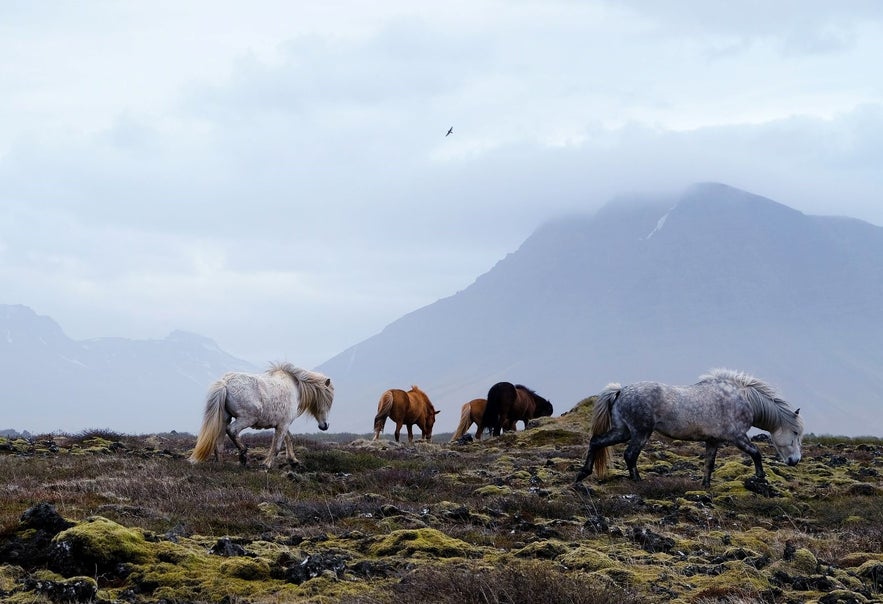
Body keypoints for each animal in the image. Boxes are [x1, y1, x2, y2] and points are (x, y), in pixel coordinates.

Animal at [190, 360, 334, 470]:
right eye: (327, 400)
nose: (325, 426)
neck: (294, 386)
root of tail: (225, 383)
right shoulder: (284, 424)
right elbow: (277, 446)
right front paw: (267, 464)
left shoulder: (282, 424)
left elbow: (288, 439)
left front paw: (293, 460)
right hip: (246, 419)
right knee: (232, 430)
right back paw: (243, 455)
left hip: (225, 418)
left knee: (219, 442)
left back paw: (221, 463)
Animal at [576, 368, 804, 486]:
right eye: (795, 432)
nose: (795, 461)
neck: (741, 399)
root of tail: (620, 391)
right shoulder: (738, 437)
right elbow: (756, 453)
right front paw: (760, 477)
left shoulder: (713, 441)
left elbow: (709, 464)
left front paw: (706, 486)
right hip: (640, 433)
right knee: (630, 455)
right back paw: (638, 481)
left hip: (622, 431)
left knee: (596, 442)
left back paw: (582, 475)